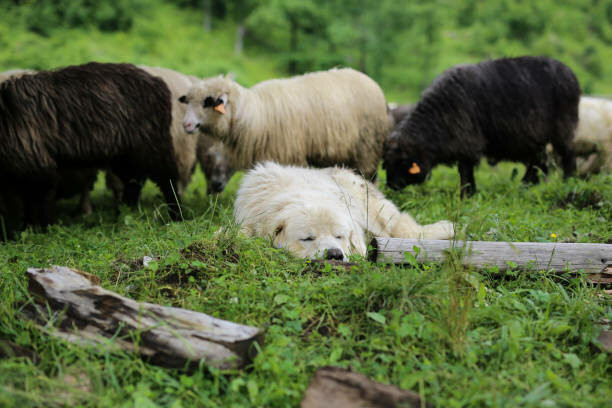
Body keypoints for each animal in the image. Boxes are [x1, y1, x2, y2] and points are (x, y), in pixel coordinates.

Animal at [178, 67, 388, 179]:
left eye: (208, 102)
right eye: (188, 101)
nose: (186, 125)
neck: (255, 114)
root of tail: (371, 81)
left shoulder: (289, 156)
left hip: (367, 149)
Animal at [384, 57, 580, 196]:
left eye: (402, 163)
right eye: (386, 165)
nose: (391, 186)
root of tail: (570, 72)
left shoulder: (467, 143)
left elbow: (465, 173)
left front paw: (466, 195)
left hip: (563, 127)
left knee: (567, 155)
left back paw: (568, 182)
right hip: (537, 137)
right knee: (538, 163)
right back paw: (524, 186)